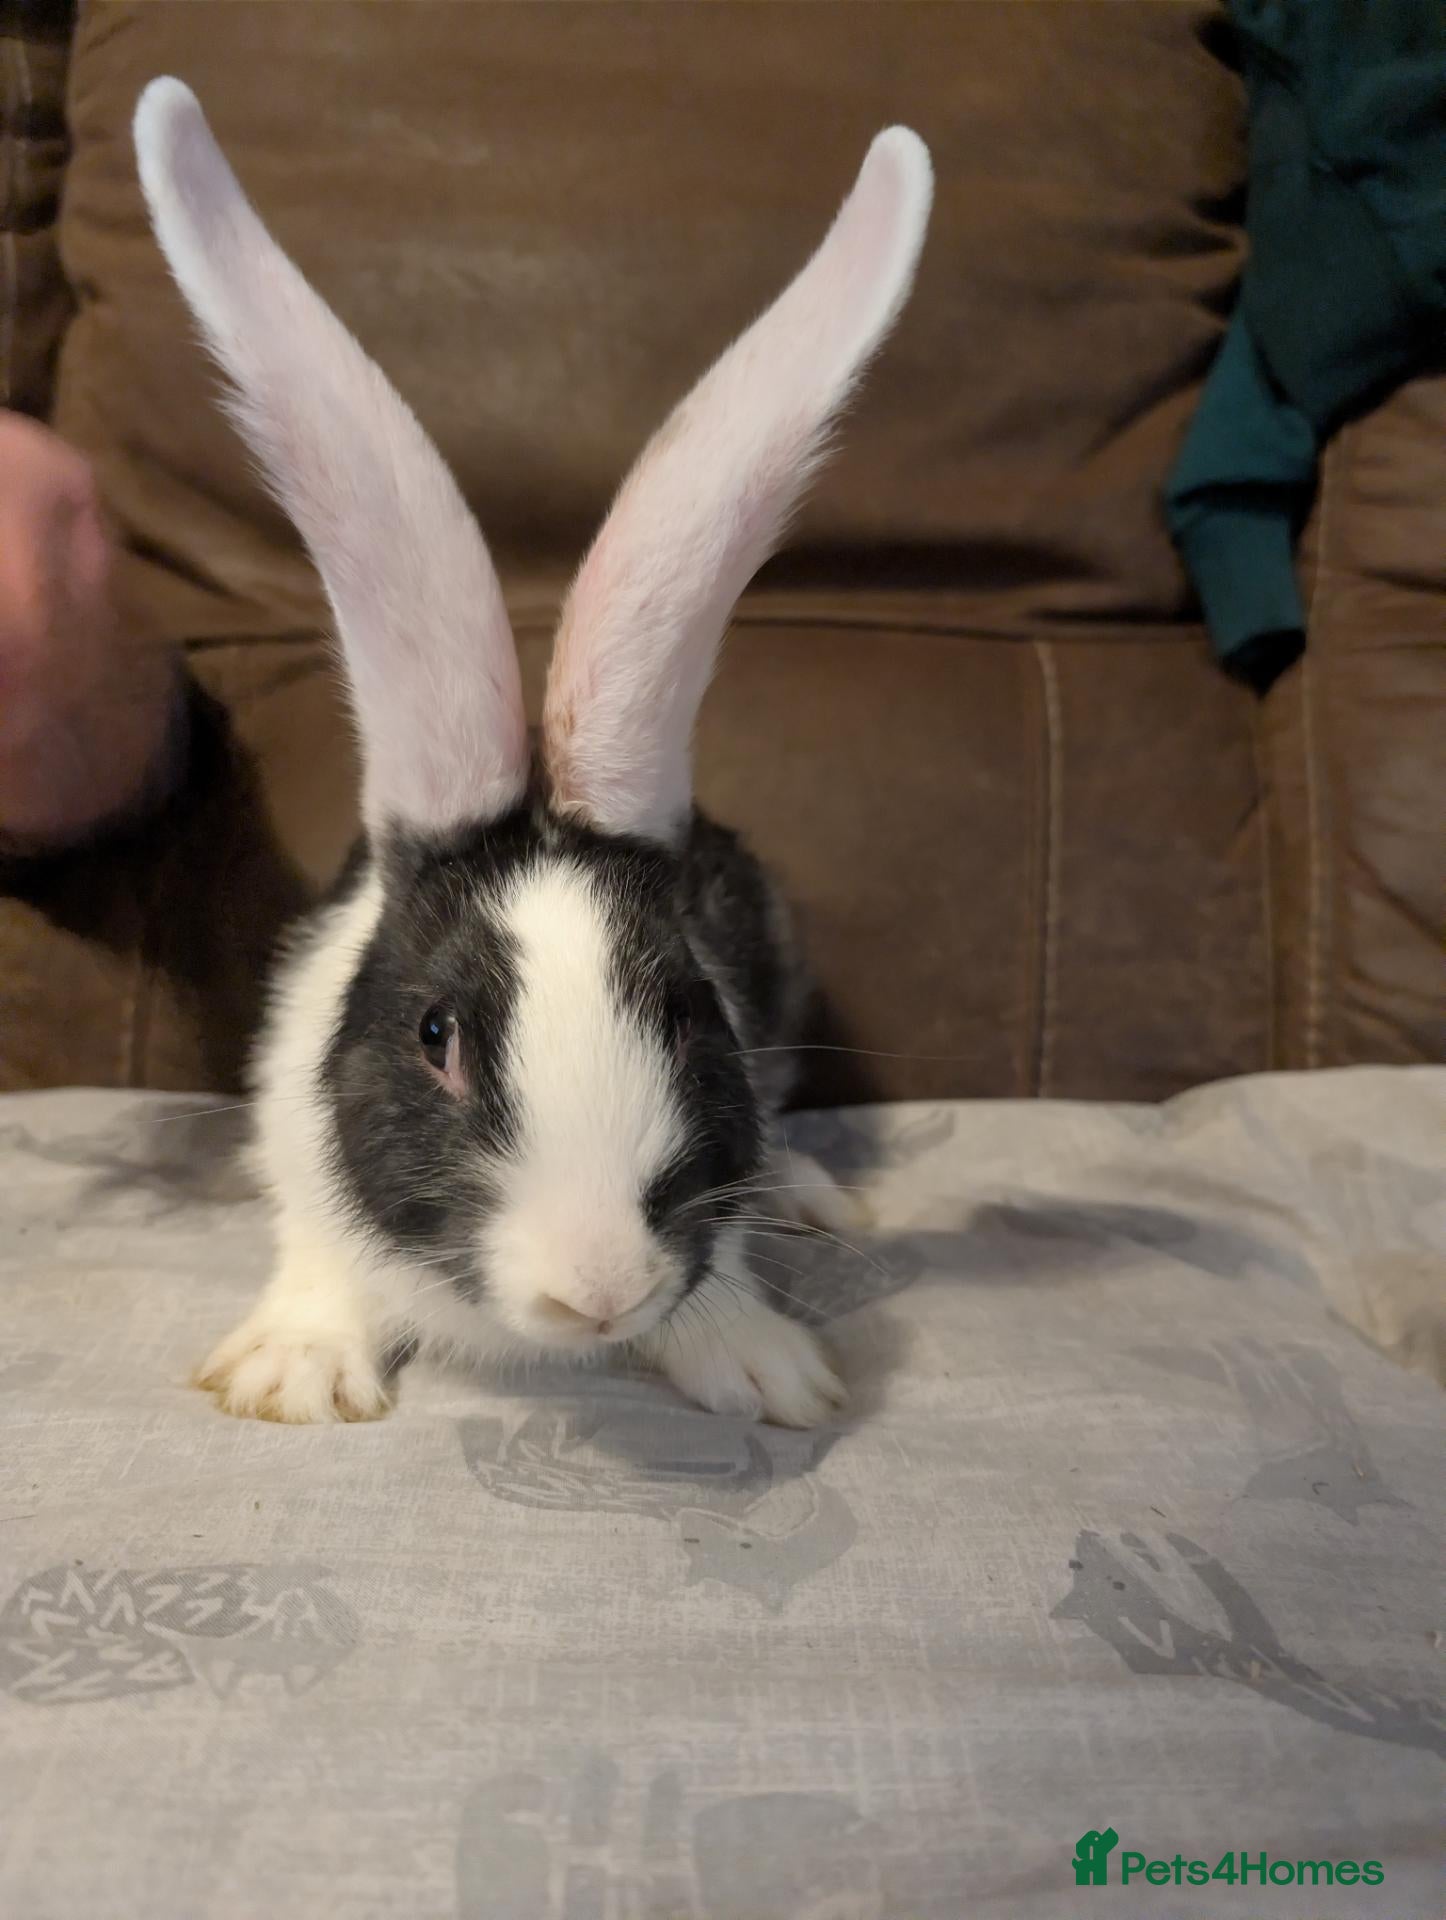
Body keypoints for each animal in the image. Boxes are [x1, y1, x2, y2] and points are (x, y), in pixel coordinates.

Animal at [133, 78, 932, 1428]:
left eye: (687, 1013)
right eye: (434, 1034)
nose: (597, 1287)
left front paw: (764, 1373)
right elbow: (317, 1247)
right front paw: (292, 1376)